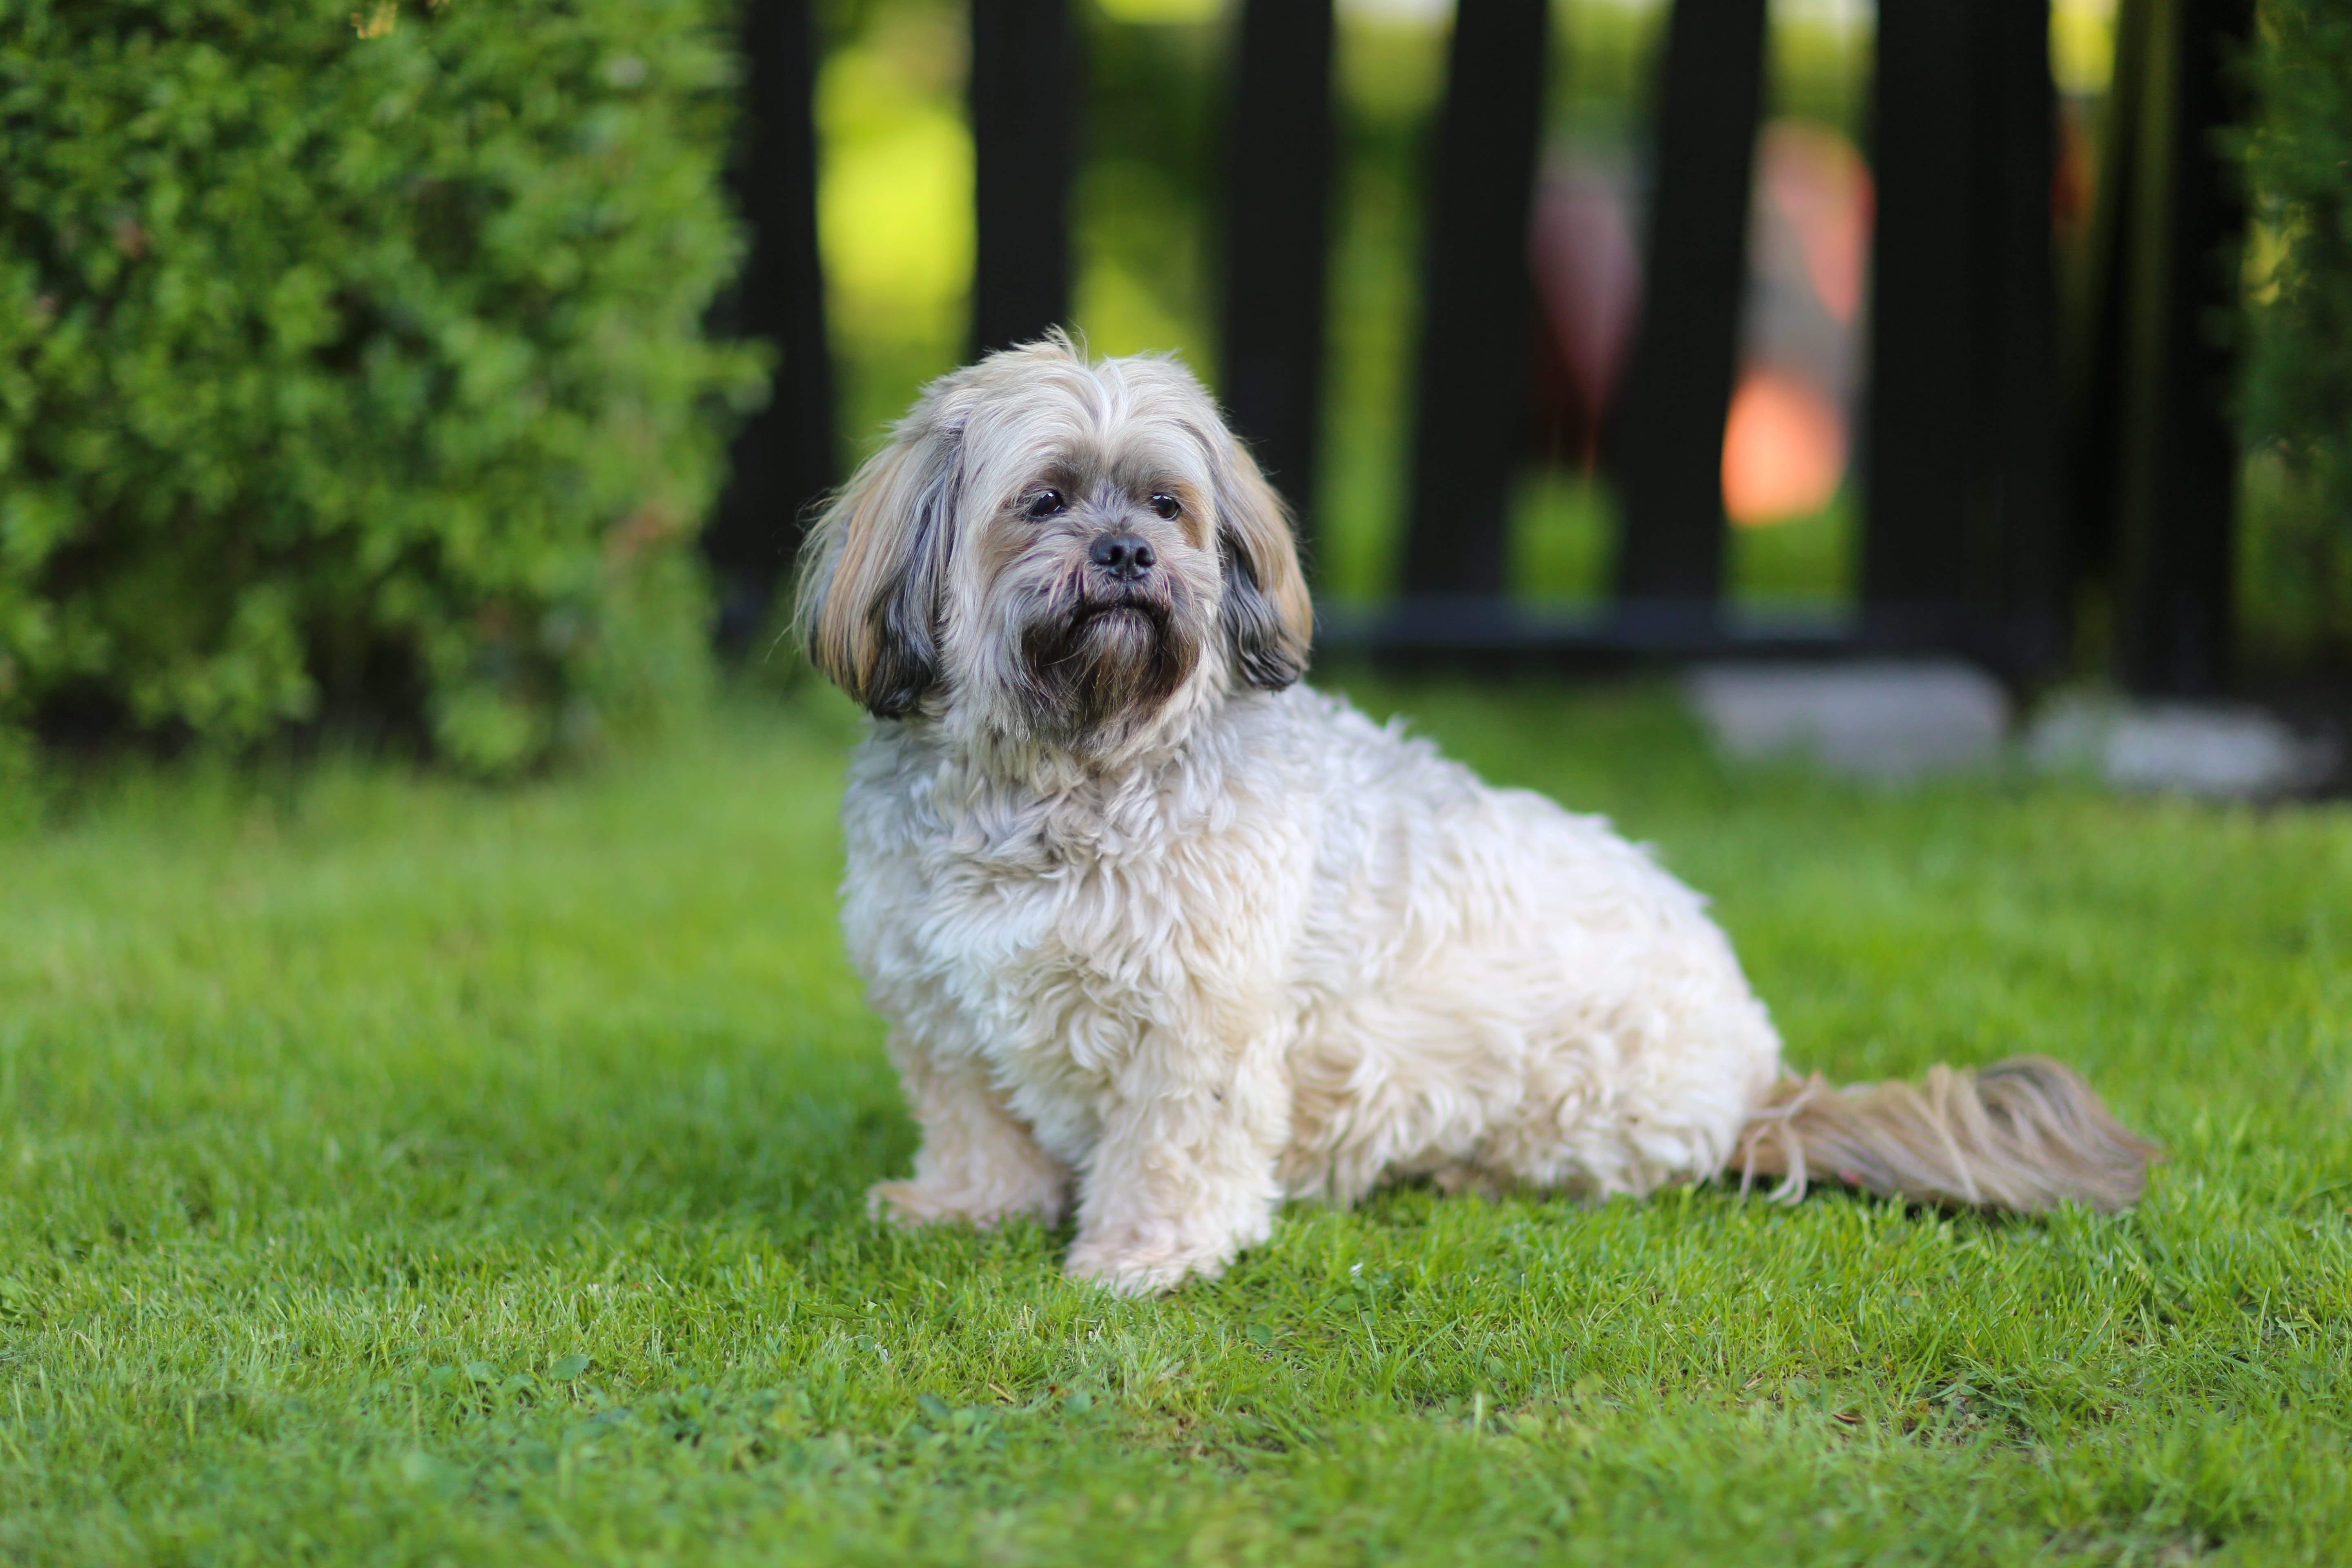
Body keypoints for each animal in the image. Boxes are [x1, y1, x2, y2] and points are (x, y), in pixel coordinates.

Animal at [800, 339, 2154, 1297]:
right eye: (1044, 501)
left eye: (1170, 506)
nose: (1130, 554)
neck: (1058, 772)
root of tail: (1761, 1080)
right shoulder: (938, 1011)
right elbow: (978, 1132)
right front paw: (964, 1208)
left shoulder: (1196, 1025)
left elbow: (1176, 1147)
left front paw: (1142, 1256)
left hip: (1566, 1092)